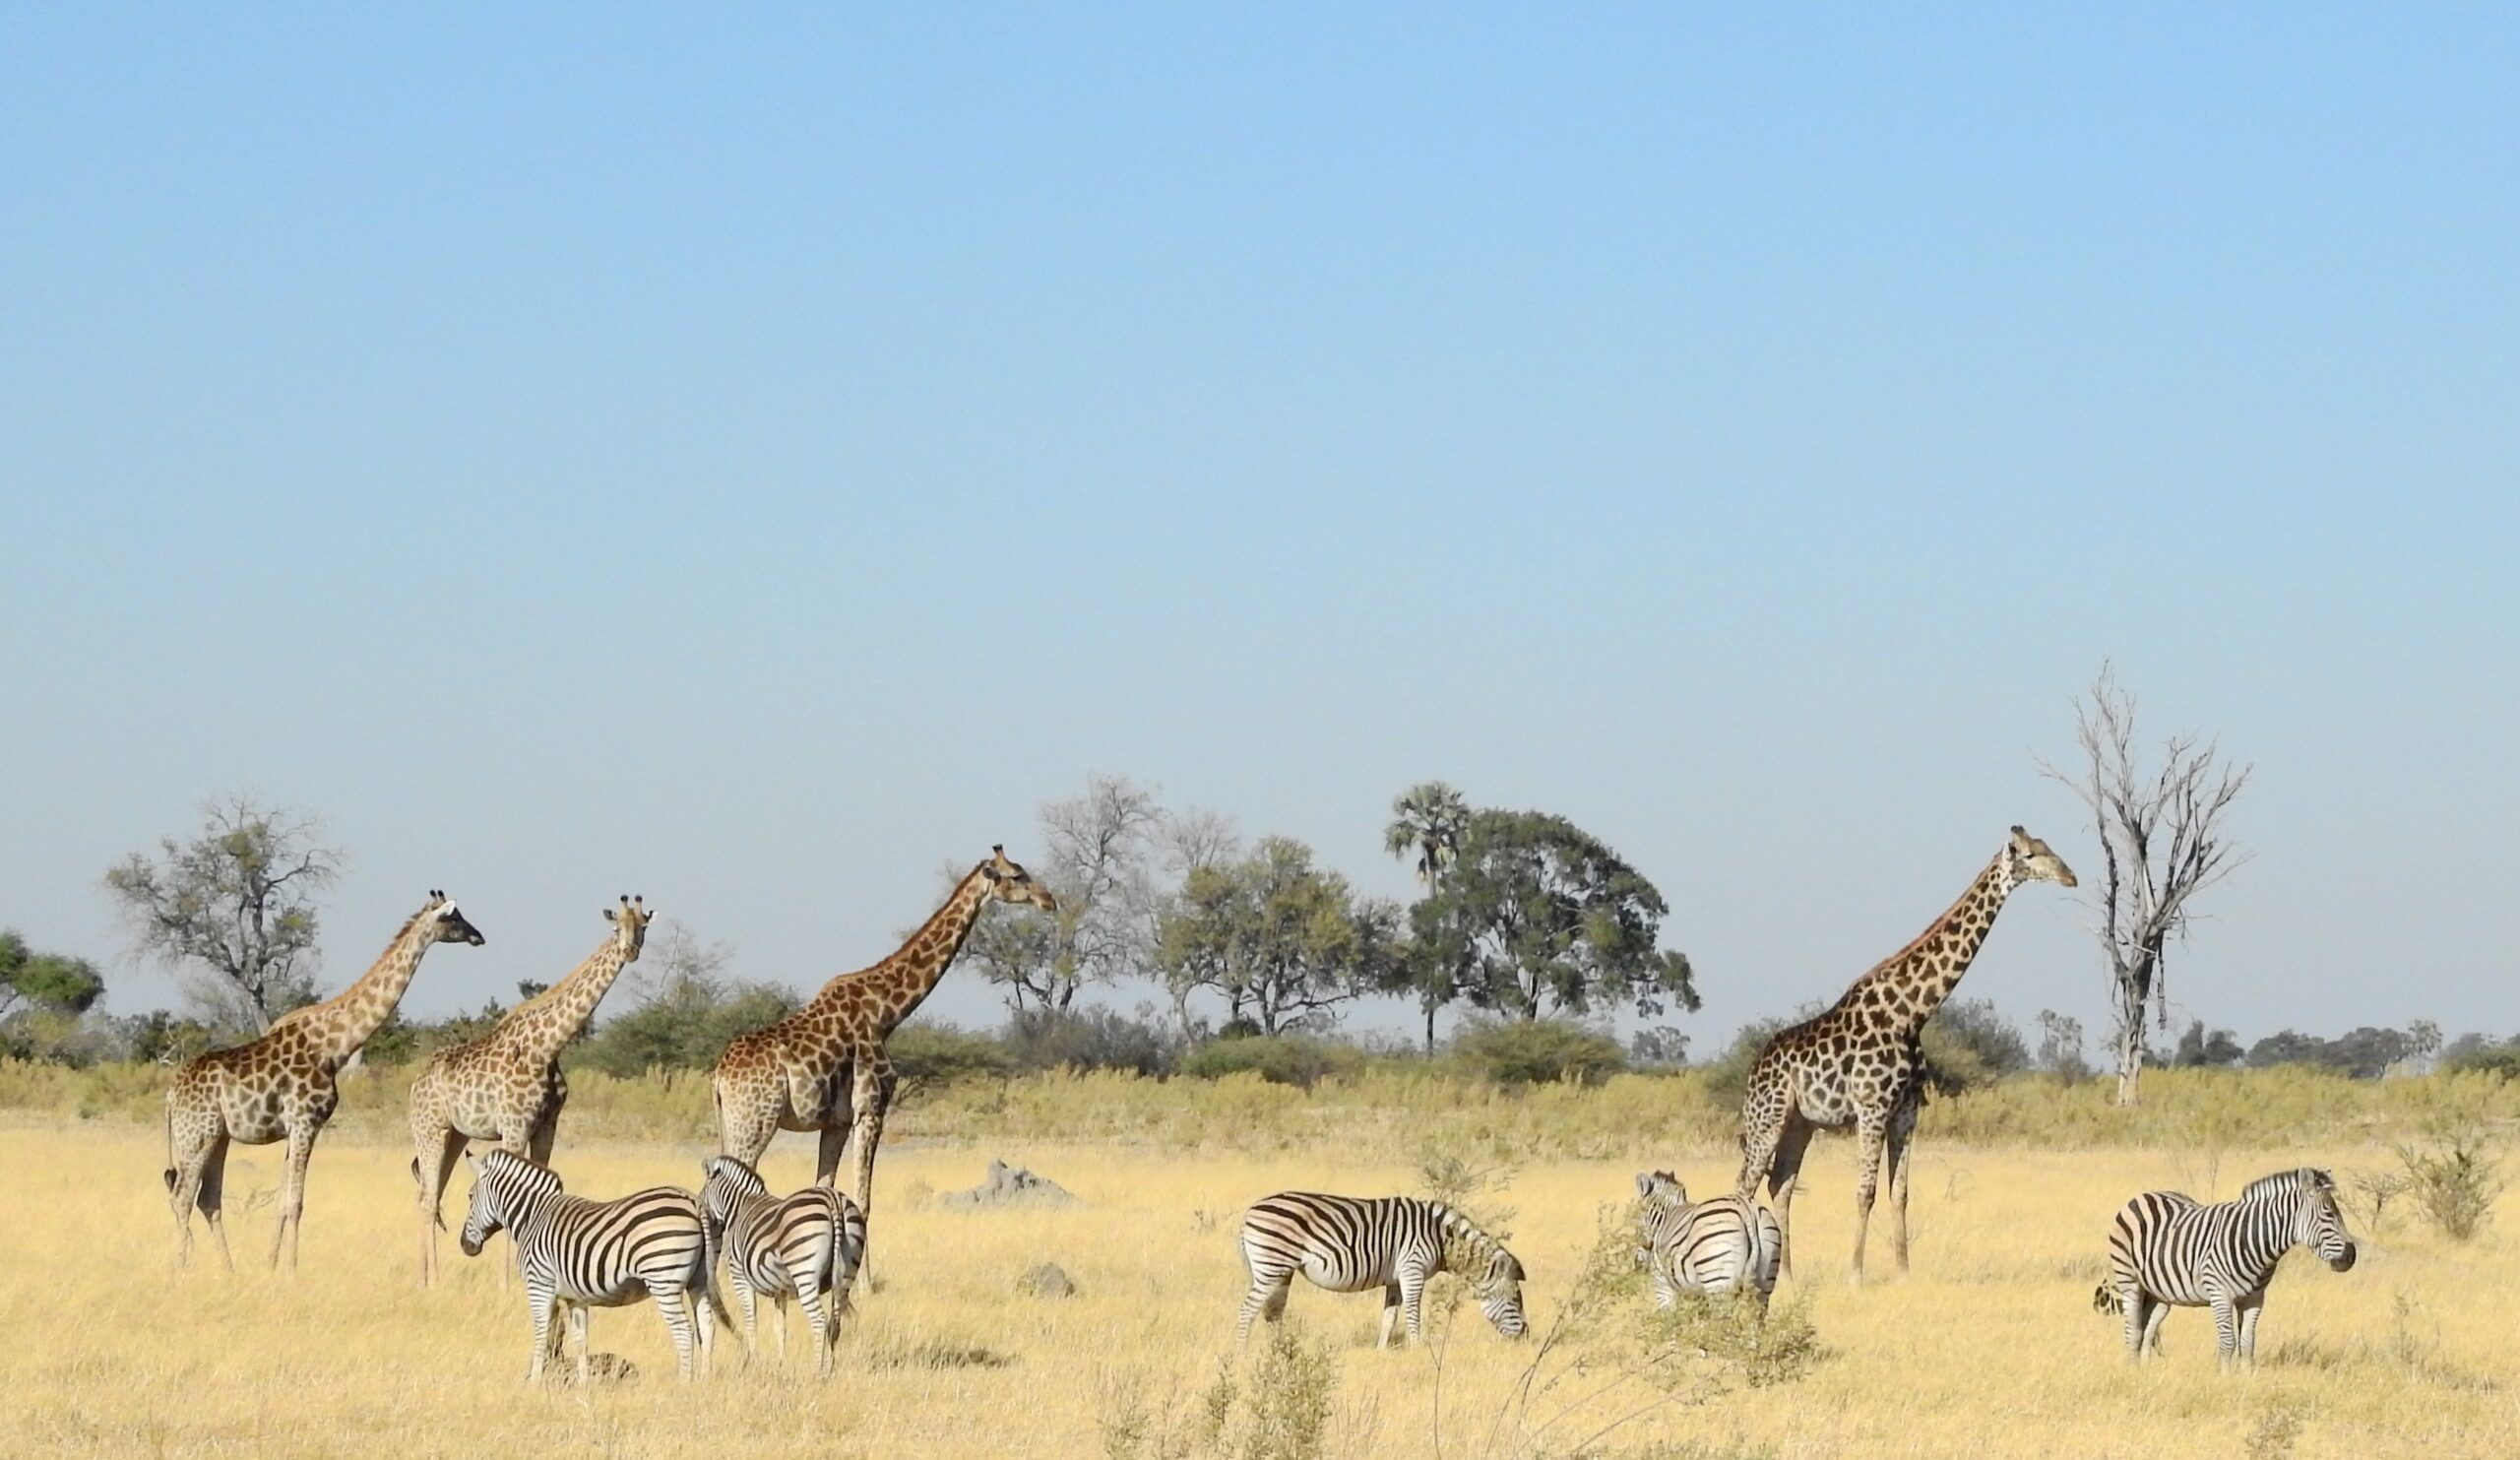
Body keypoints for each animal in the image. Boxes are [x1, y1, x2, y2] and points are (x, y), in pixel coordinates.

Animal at [163, 891, 486, 1270]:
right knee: (182, 1196)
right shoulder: (305, 1122)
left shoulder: (295, 1128)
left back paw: (228, 1271)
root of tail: (171, 1096)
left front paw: (272, 1267)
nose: (478, 936)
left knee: (207, 1198)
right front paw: (291, 1271)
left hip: (219, 1136)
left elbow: (283, 1202)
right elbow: (295, 1203)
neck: (334, 1045)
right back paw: (180, 1270)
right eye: (454, 918)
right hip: (196, 1135)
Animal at [407, 895, 654, 1287]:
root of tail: (415, 1084)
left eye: (642, 926)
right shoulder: (514, 1125)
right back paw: (430, 1281)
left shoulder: (547, 1126)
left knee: (429, 1194)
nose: (629, 950)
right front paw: (506, 1284)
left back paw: (429, 1277)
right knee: (429, 1198)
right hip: (428, 1130)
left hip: (455, 1135)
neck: (549, 1045)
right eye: (616, 927)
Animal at [712, 846, 1056, 1263]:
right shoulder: (871, 1107)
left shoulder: (837, 1121)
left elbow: (826, 1192)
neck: (887, 1011)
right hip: (754, 1123)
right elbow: (862, 1202)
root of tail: (719, 1076)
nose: (1050, 900)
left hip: (732, 1123)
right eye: (1018, 875)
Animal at [1734, 827, 2075, 1281]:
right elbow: (1865, 1191)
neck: (1912, 1012)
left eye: (2048, 848)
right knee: (1744, 1185)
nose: (2070, 876)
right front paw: (1856, 1275)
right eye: (2032, 854)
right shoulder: (1872, 1106)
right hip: (1766, 1119)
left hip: (1799, 1123)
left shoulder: (1907, 1110)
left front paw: (1903, 1272)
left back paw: (1786, 1275)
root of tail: (1754, 1069)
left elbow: (1900, 1193)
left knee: (1780, 1186)